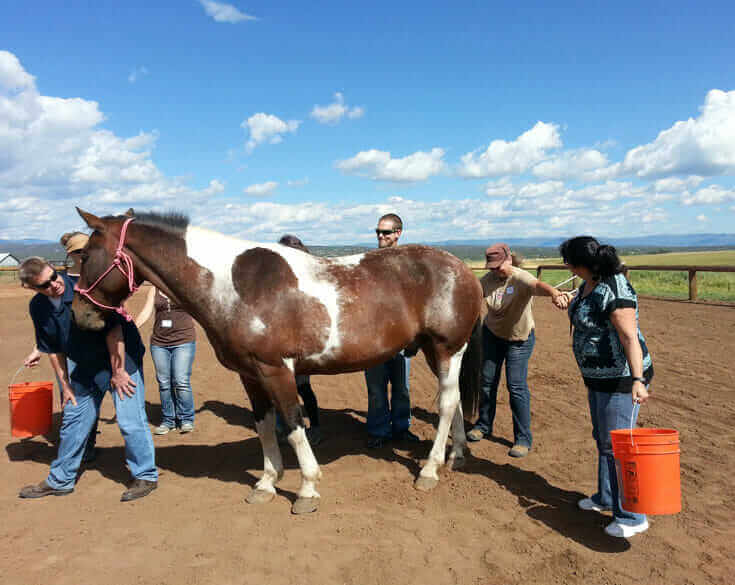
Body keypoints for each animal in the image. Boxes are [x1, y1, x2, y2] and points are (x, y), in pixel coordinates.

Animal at [71, 208, 484, 514]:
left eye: (86, 255)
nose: (79, 314)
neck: (233, 286)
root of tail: (463, 269)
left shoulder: (276, 370)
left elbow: (294, 423)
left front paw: (307, 489)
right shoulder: (251, 375)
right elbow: (265, 426)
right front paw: (267, 483)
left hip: (447, 349)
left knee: (447, 403)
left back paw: (429, 470)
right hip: (436, 350)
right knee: (455, 402)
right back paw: (457, 455)